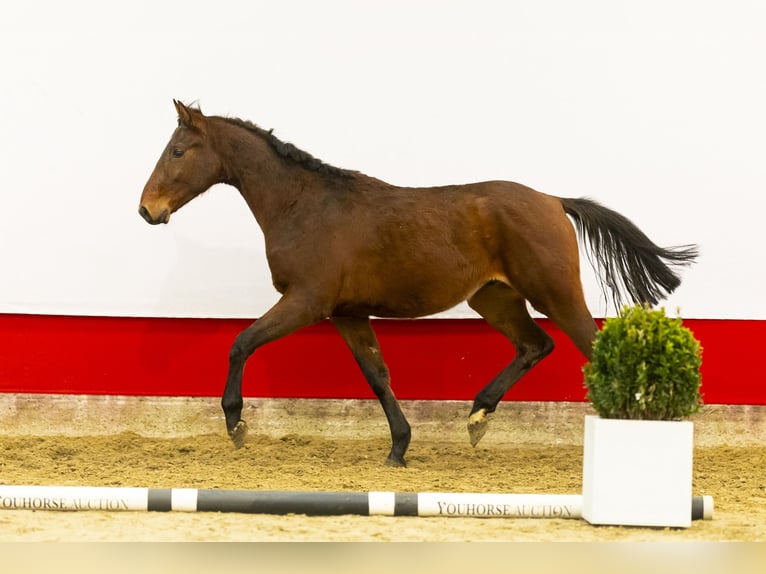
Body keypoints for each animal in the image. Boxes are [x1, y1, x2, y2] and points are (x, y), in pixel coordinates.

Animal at [140, 99, 704, 468]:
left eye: (177, 150)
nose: (147, 210)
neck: (304, 205)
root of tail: (553, 200)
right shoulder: (347, 313)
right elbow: (377, 375)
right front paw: (398, 448)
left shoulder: (306, 301)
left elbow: (241, 343)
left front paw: (235, 425)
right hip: (494, 297)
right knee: (535, 345)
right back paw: (477, 418)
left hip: (556, 293)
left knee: (589, 344)